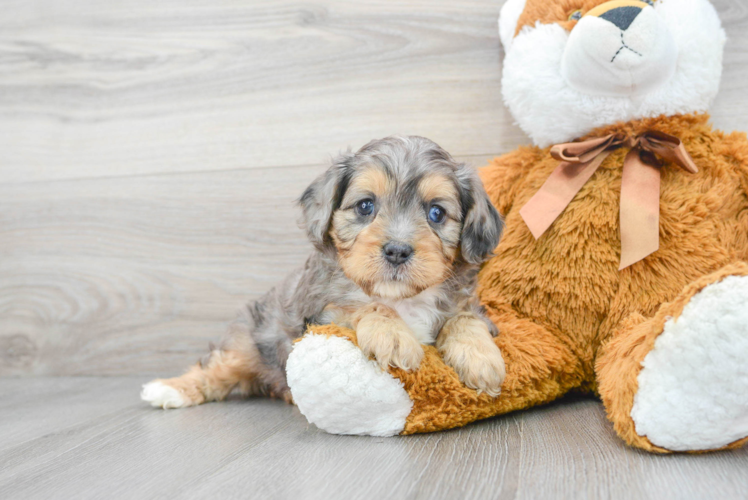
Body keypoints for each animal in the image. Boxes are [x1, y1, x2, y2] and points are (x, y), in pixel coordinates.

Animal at [140, 135, 506, 408]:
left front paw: (481, 358)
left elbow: (464, 319)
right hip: (249, 341)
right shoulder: (320, 314)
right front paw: (392, 335)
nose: (397, 250)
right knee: (216, 369)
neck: (401, 299)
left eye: (436, 213)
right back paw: (168, 389)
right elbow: (363, 306)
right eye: (365, 206)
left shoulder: (468, 305)